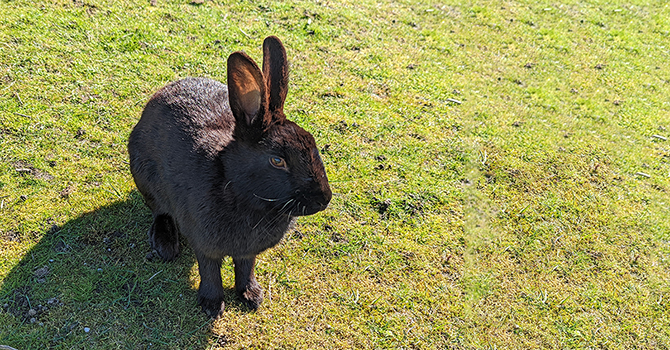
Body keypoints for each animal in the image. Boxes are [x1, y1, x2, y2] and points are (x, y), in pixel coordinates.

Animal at [126, 36, 334, 318]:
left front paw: (251, 296)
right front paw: (212, 306)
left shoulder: (247, 251)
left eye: (313, 144)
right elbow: (210, 270)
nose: (324, 199)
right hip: (143, 174)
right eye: (277, 160)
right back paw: (164, 244)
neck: (242, 193)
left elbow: (246, 267)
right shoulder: (205, 241)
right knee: (160, 210)